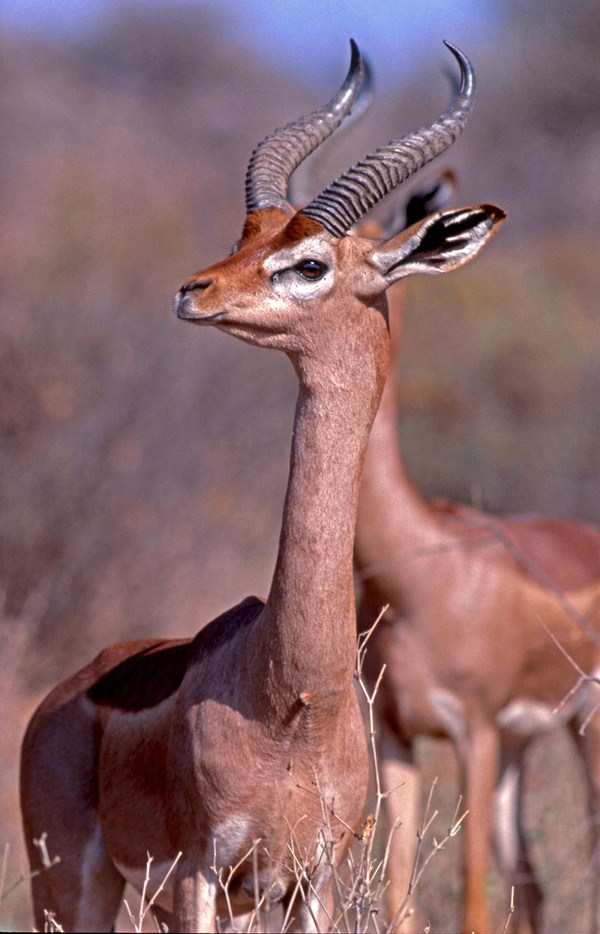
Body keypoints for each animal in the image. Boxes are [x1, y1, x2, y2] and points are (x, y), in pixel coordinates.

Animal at [20, 42, 504, 933]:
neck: (292, 699)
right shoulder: (200, 876)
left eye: (309, 262)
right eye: (245, 233)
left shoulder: (308, 883)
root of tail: (66, 690)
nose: (193, 290)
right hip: (73, 888)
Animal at [355, 187, 600, 932]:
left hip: (584, 731)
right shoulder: (397, 735)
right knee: (533, 884)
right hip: (524, 748)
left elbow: (470, 903)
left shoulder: (476, 733)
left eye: (374, 246)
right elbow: (399, 895)